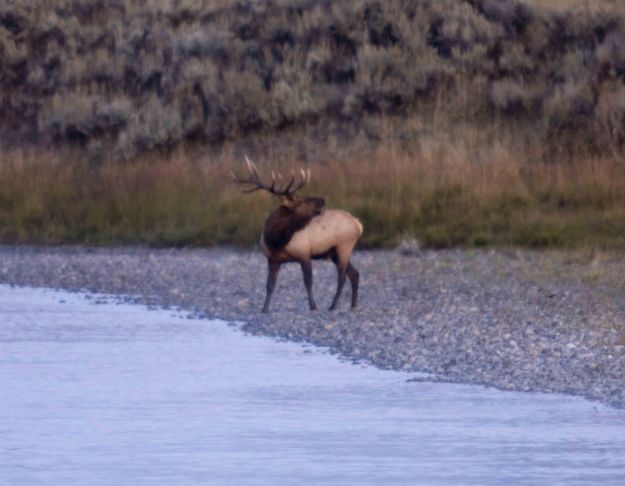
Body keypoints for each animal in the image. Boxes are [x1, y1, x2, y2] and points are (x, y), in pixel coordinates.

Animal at [233, 158, 360, 314]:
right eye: (301, 200)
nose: (322, 200)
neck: (276, 241)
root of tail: (358, 223)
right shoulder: (272, 259)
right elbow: (269, 285)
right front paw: (264, 309)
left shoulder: (304, 254)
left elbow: (308, 282)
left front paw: (313, 307)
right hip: (334, 253)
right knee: (354, 274)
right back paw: (353, 305)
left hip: (344, 246)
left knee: (341, 278)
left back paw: (333, 306)